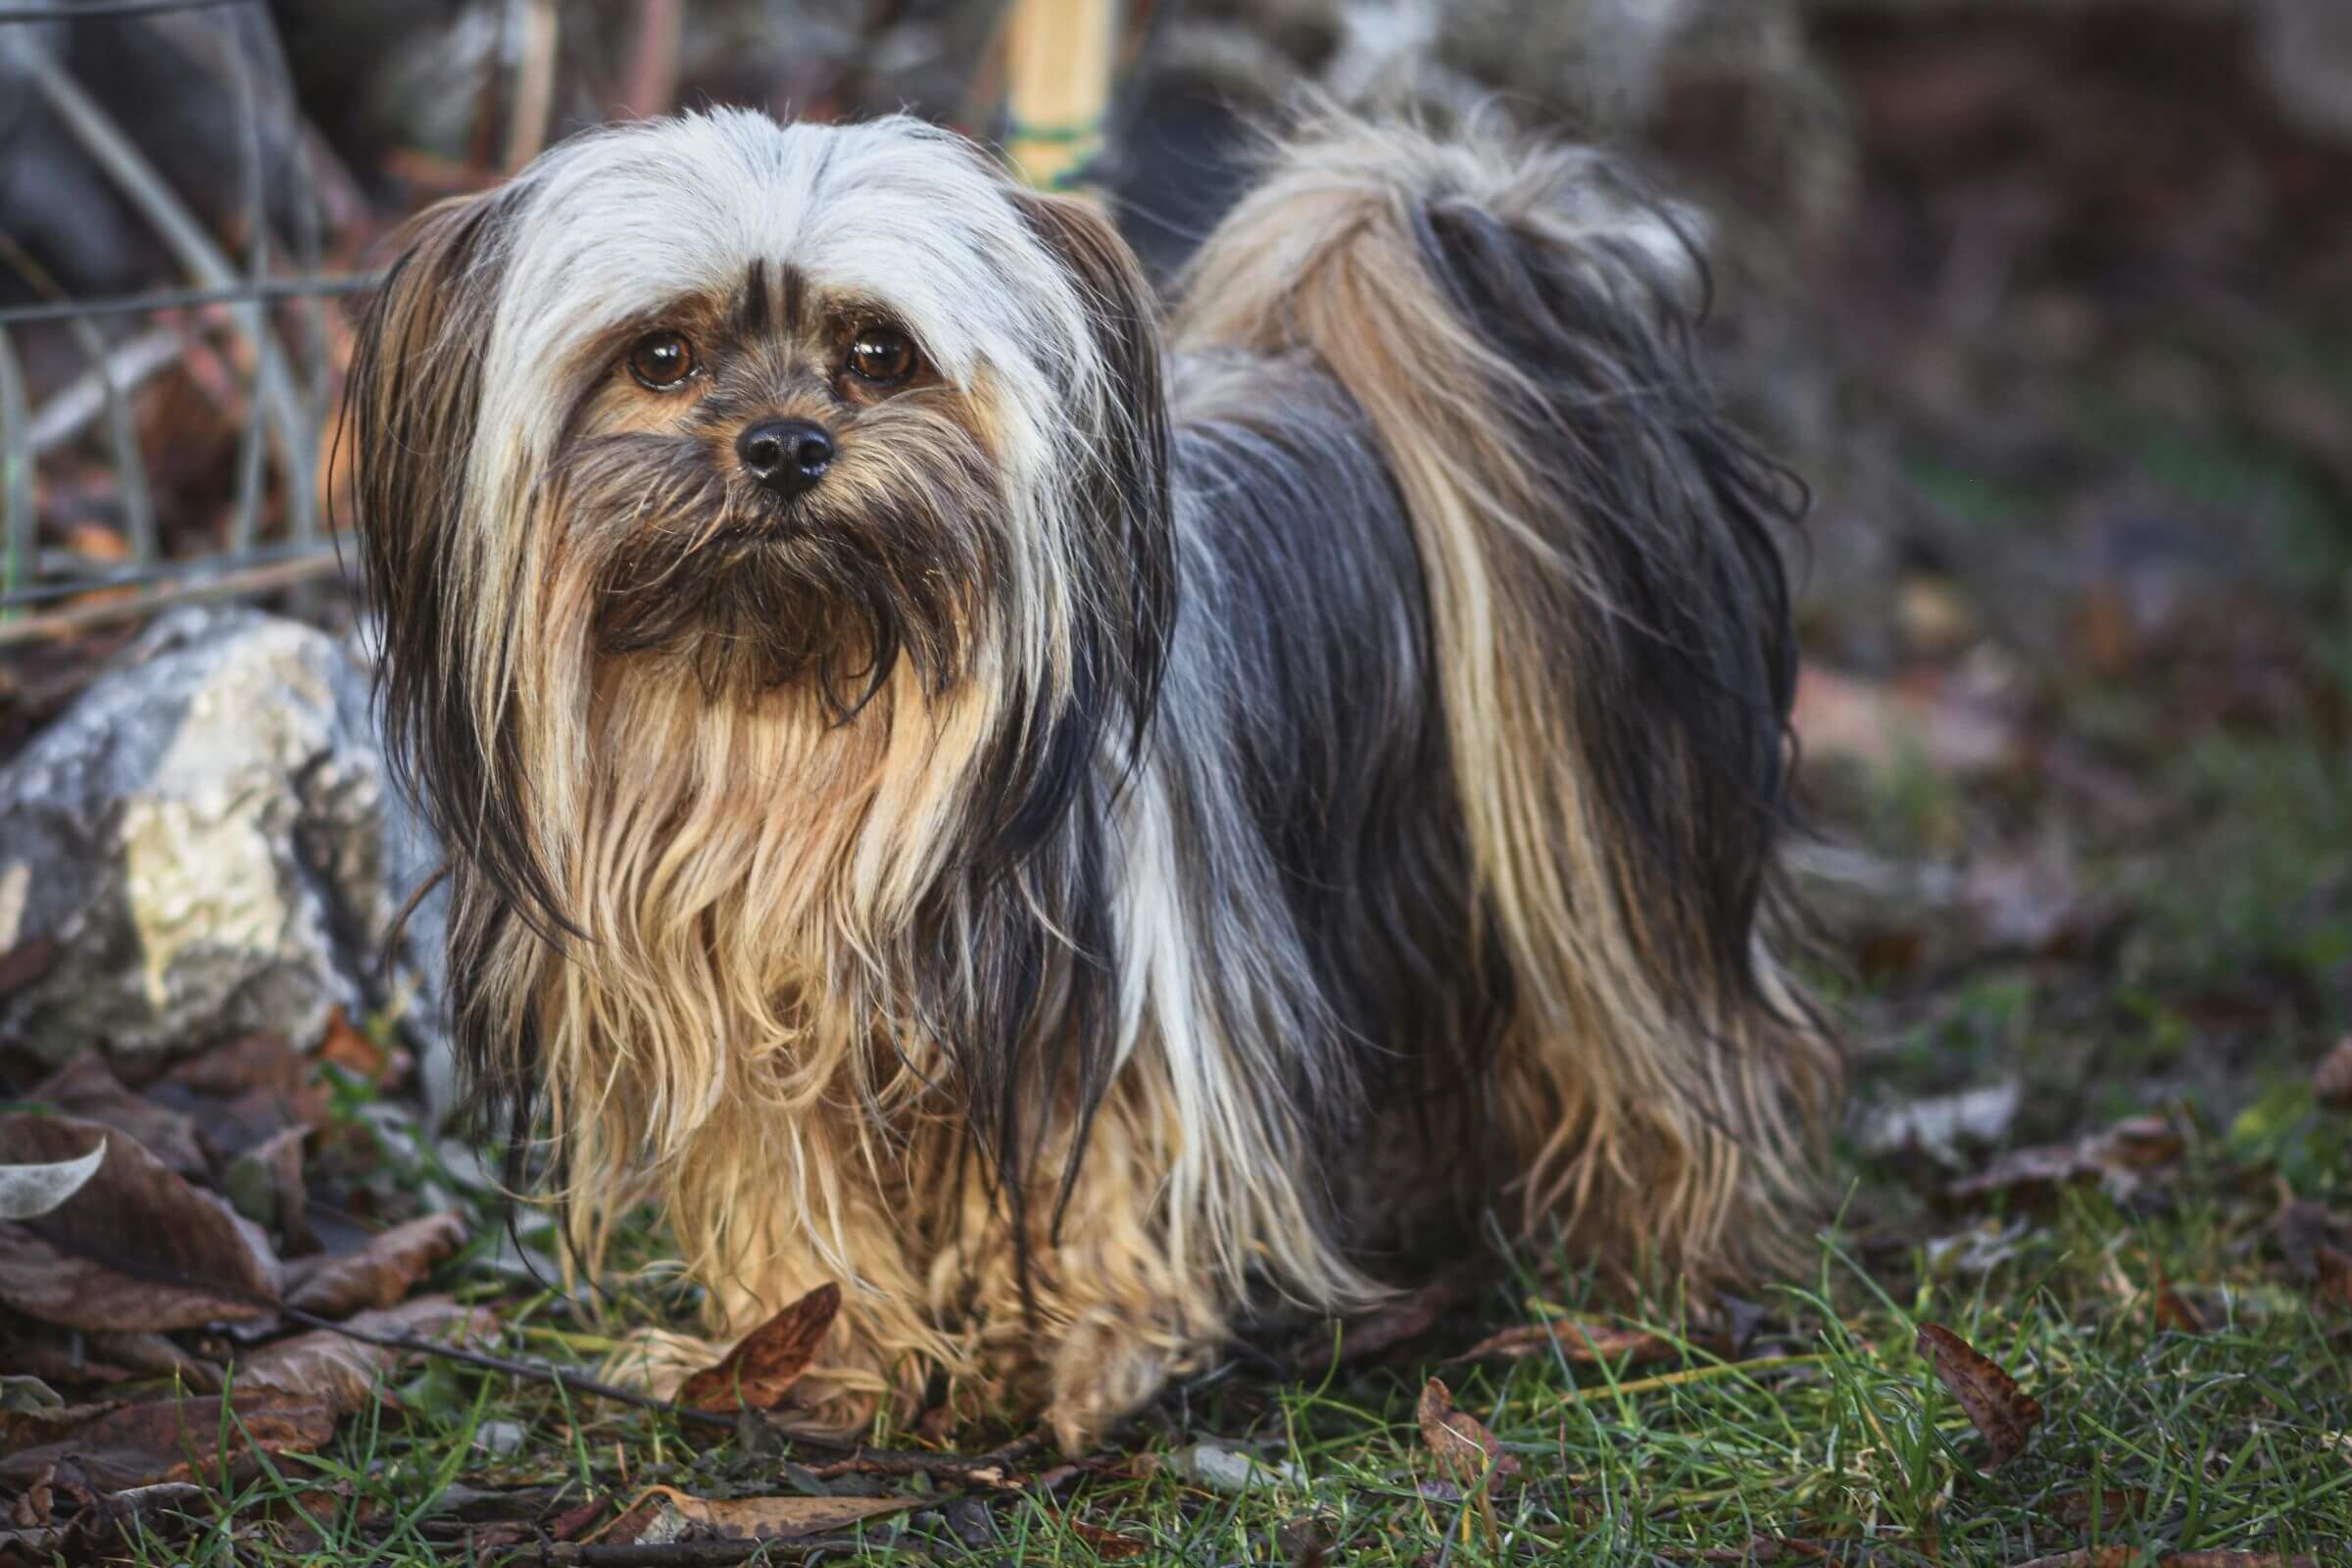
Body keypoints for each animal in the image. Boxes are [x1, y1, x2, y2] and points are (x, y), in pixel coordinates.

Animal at [343, 104, 1835, 1447]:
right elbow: (792, 1199)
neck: (797, 716)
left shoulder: (1126, 989)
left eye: (878, 352)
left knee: (1658, 1048)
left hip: (1609, 862)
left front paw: (1098, 1359)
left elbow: (1119, 1175)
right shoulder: (741, 1007)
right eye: (660, 355)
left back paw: (1659, 1261)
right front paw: (827, 1364)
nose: (783, 447)